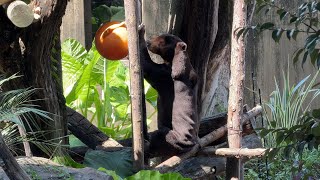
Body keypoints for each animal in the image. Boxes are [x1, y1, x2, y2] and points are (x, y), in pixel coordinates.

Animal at [139, 24, 199, 157]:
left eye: (163, 41)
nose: (149, 42)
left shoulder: (166, 76)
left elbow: (148, 66)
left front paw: (140, 31)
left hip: (173, 139)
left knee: (158, 138)